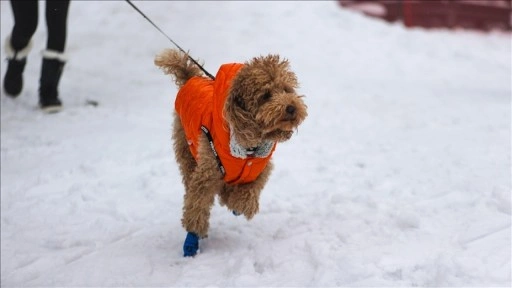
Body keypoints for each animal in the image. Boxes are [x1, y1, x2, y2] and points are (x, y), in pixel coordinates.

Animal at [154, 49, 308, 256]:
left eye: (286, 89)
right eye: (266, 95)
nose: (291, 108)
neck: (249, 146)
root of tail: (191, 77)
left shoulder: (260, 168)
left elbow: (248, 193)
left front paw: (237, 203)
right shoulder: (208, 171)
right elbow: (198, 203)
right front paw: (194, 231)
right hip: (186, 148)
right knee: (189, 179)